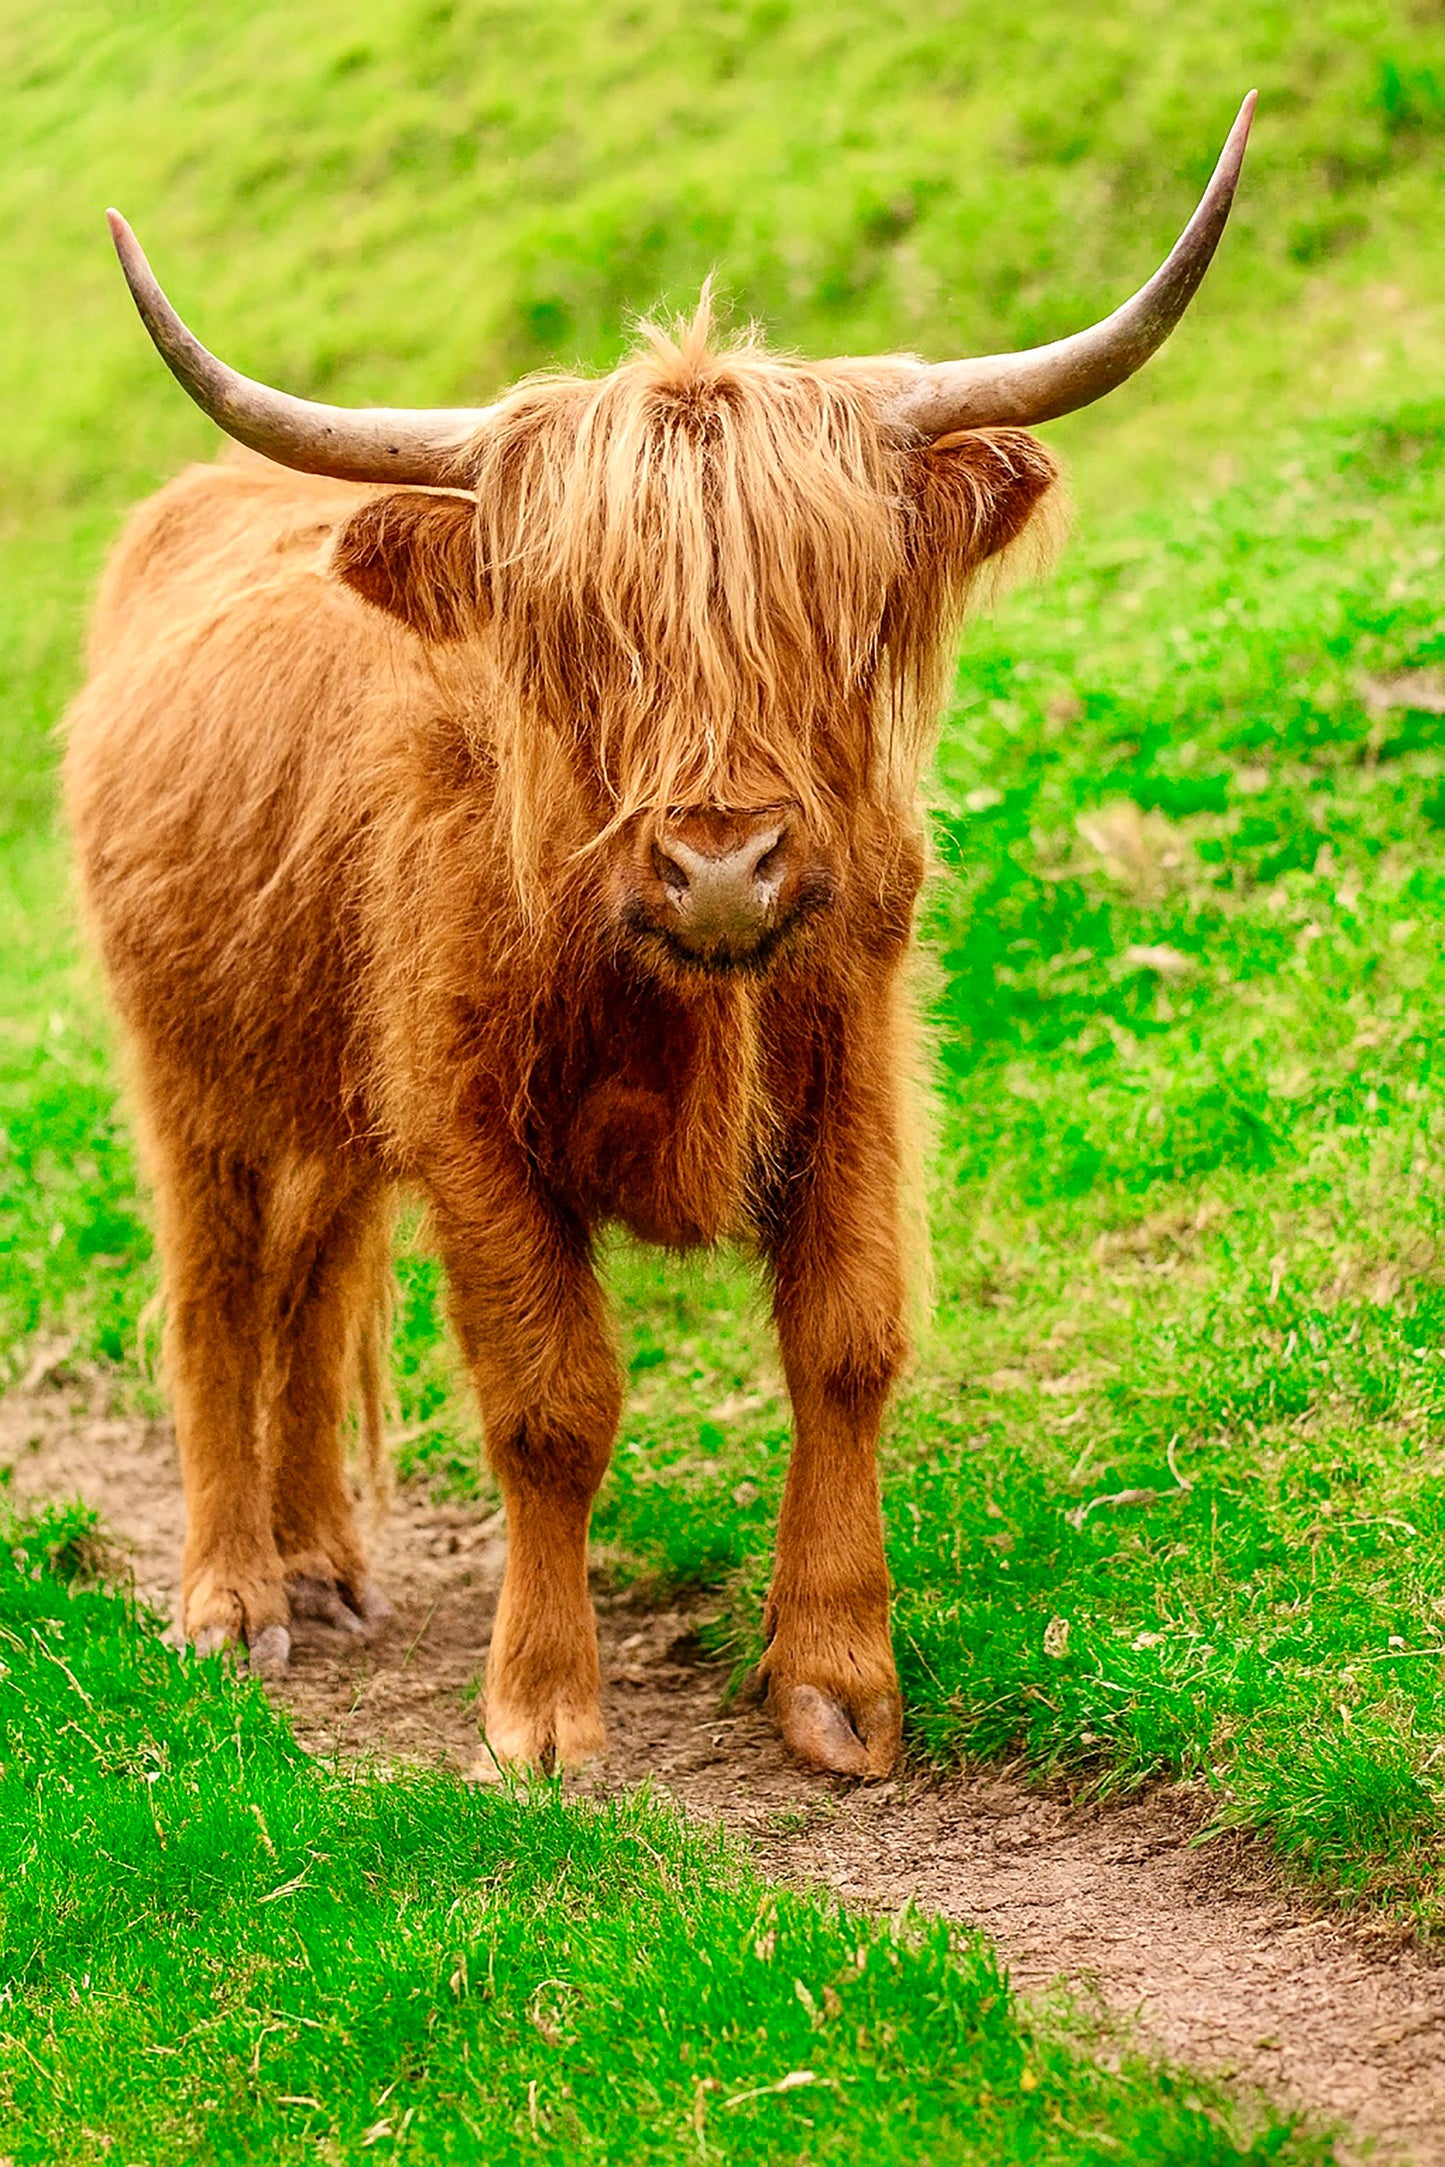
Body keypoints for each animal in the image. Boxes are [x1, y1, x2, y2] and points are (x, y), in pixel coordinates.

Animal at [64, 97, 1253, 1778]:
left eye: (834, 612)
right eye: (582, 633)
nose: (721, 865)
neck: (678, 988)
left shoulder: (854, 1066)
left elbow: (847, 1343)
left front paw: (838, 1681)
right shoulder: (470, 1119)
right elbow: (551, 1402)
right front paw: (543, 1716)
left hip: (333, 1093)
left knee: (308, 1282)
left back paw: (323, 1563)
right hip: (191, 1071)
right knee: (219, 1293)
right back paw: (235, 1595)